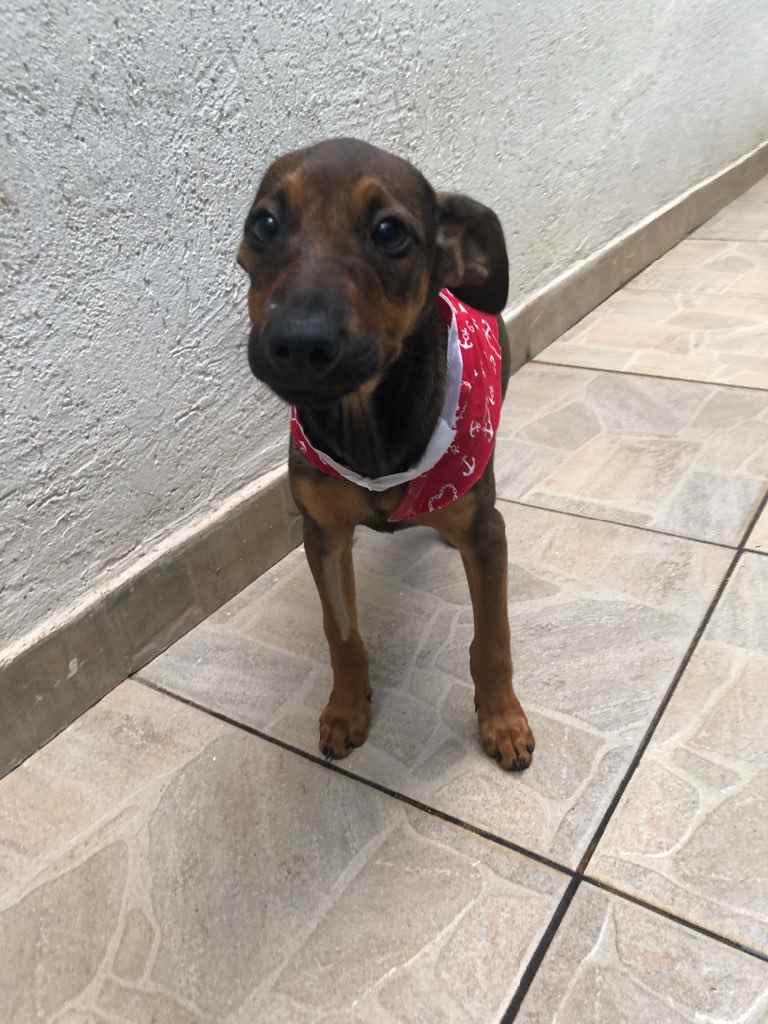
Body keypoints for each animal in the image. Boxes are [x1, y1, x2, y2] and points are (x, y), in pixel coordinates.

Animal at [237, 138, 535, 771]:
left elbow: (492, 637)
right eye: (264, 224)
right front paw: (346, 711)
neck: (366, 417)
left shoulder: (487, 532)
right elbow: (342, 633)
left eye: (390, 232)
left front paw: (502, 721)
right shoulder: (322, 533)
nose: (297, 343)